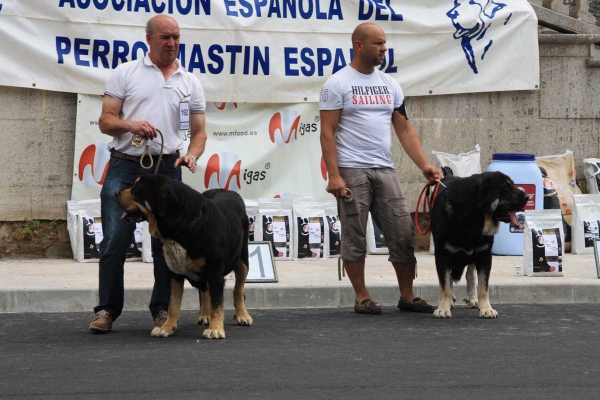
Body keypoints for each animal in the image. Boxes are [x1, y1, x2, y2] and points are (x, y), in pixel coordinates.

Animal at [116, 174, 252, 338]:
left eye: (136, 188)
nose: (115, 192)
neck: (180, 226)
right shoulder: (174, 273)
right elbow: (173, 303)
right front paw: (166, 327)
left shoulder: (214, 273)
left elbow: (216, 303)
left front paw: (215, 329)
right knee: (205, 291)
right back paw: (205, 315)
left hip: (242, 261)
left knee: (238, 289)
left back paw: (242, 315)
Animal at [428, 172, 528, 318]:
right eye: (505, 188)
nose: (528, 197)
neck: (473, 220)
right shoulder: (442, 255)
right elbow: (444, 285)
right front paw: (443, 308)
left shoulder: (484, 255)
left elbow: (483, 286)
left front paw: (486, 308)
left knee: (470, 275)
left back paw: (473, 299)